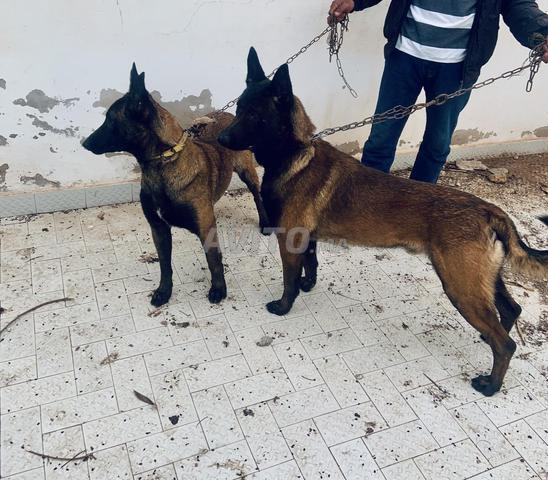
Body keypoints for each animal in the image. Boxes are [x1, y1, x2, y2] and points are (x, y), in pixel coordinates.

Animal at [83, 64, 268, 306]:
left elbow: (213, 261)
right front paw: (164, 291)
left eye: (111, 120)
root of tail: (227, 114)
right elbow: (165, 265)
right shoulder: (159, 229)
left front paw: (218, 289)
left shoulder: (206, 229)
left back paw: (265, 222)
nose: (84, 143)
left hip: (247, 171)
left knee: (257, 195)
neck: (163, 165)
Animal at [218, 47, 548, 396]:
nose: (221, 137)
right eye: (239, 108)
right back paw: (488, 343)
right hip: (482, 280)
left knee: (506, 343)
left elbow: (289, 279)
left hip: (461, 287)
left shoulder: (289, 239)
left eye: (255, 115)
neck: (295, 155)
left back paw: (490, 384)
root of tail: (488, 209)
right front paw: (309, 285)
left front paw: (284, 306)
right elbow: (311, 264)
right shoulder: (307, 238)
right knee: (510, 311)